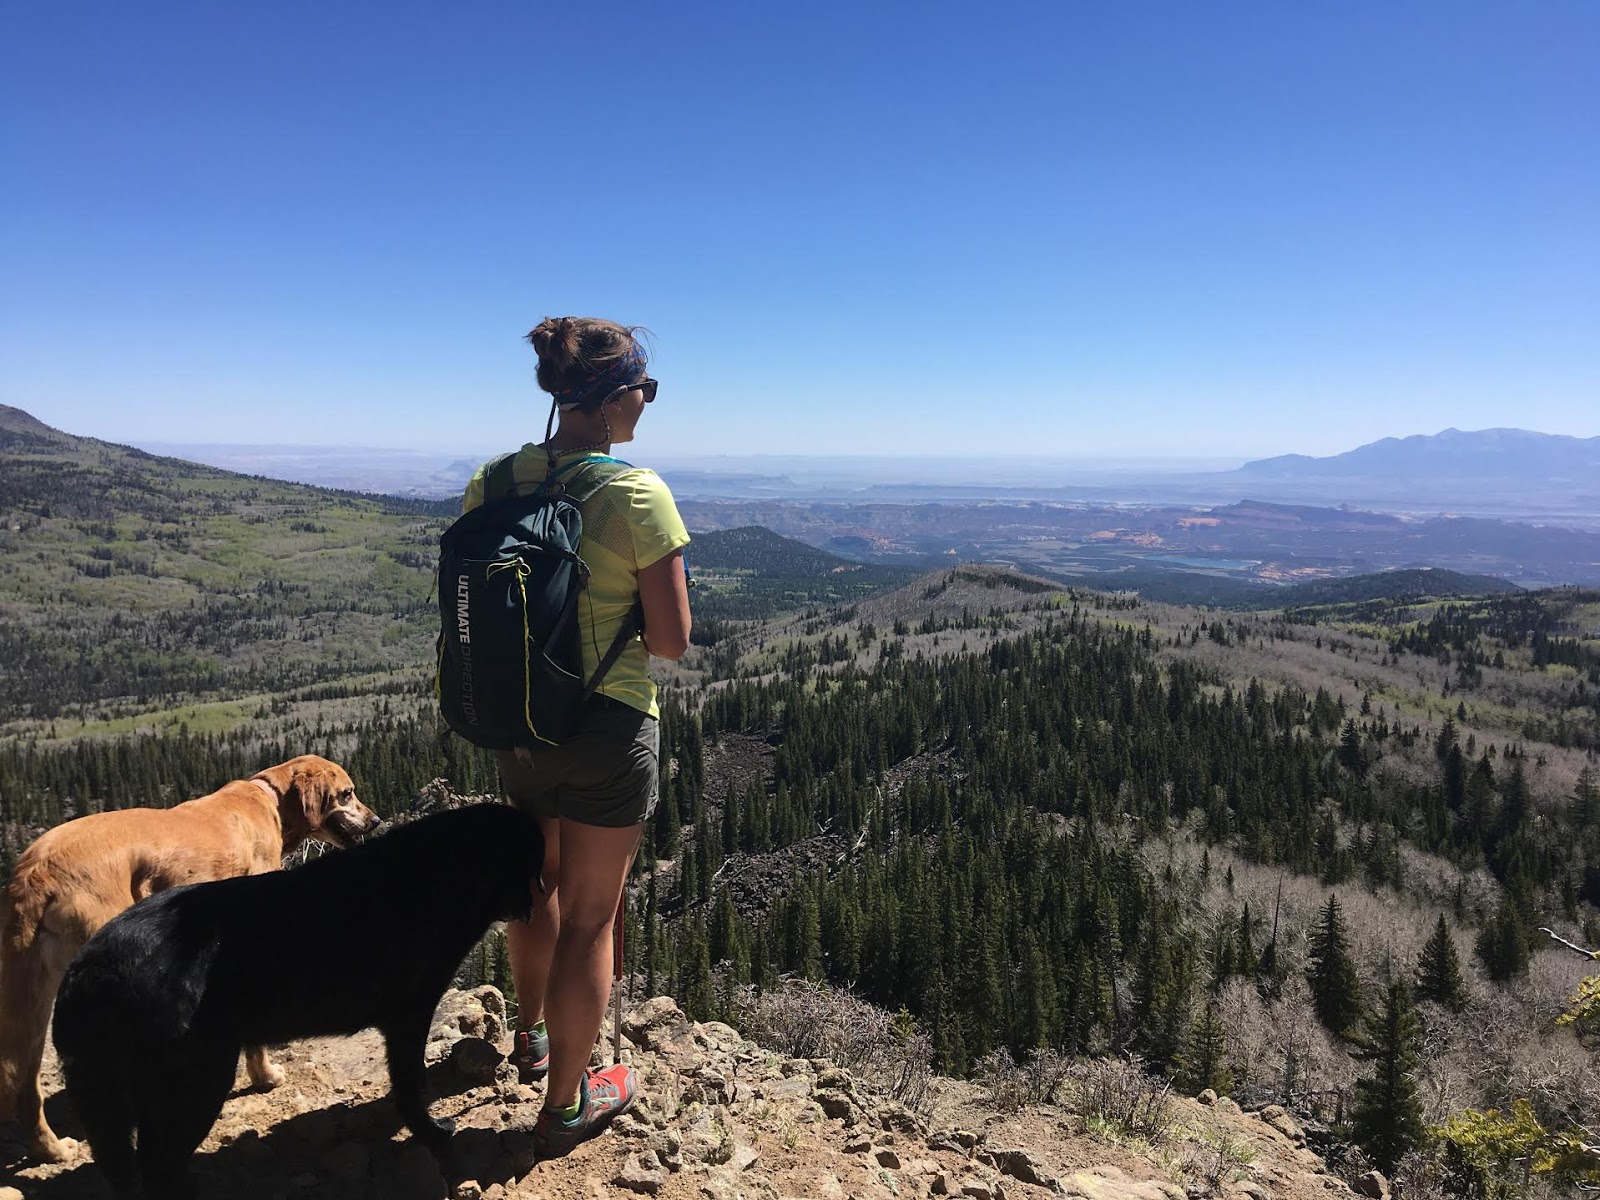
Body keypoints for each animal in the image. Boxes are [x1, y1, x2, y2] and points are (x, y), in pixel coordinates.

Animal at [51, 803, 544, 1196]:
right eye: (537, 863)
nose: (540, 902)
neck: (445, 874)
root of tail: (84, 969)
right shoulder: (409, 1013)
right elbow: (411, 1083)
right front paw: (432, 1131)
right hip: (194, 1081)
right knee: (159, 1167)